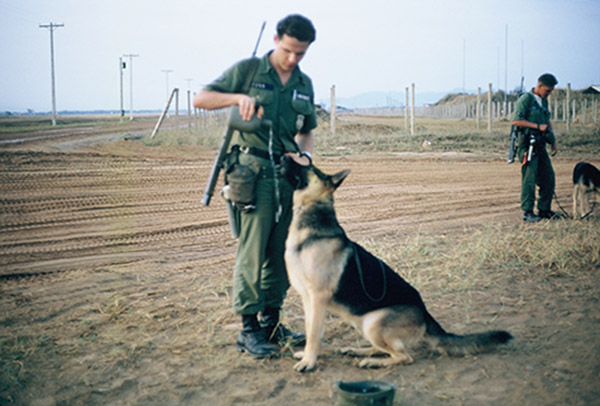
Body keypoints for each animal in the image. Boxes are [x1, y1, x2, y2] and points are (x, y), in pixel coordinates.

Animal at [282, 161, 510, 372]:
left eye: (309, 166)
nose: (283, 156)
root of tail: (425, 314)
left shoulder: (318, 297)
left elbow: (314, 334)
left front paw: (309, 362)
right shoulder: (308, 299)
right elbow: (311, 330)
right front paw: (307, 356)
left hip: (373, 322)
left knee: (404, 357)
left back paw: (372, 362)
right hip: (360, 321)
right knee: (382, 349)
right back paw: (358, 351)